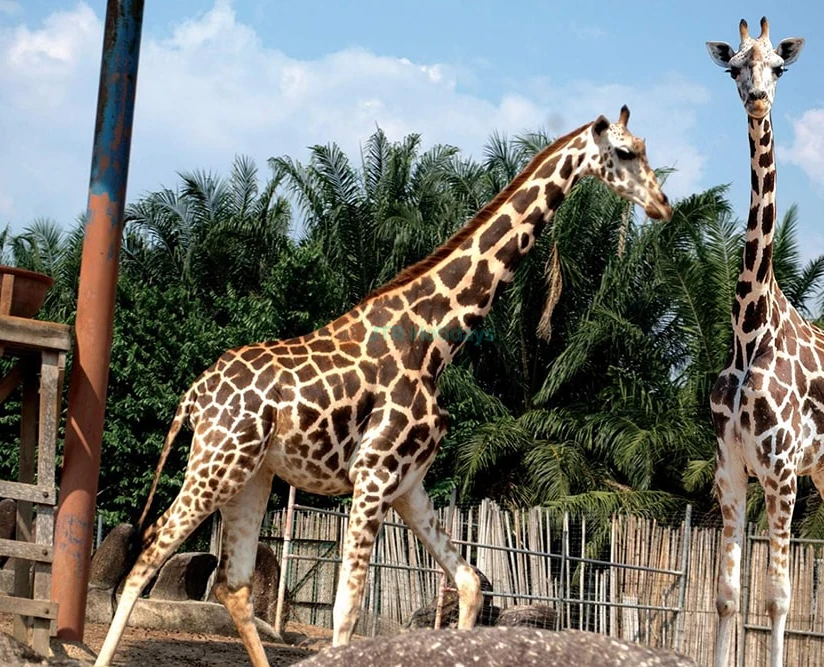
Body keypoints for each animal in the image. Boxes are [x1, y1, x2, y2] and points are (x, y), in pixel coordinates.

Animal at [94, 107, 672, 667]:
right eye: (625, 152)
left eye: (646, 149)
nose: (662, 205)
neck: (435, 342)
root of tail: (194, 394)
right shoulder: (372, 476)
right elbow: (346, 609)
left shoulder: (407, 483)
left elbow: (468, 583)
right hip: (217, 461)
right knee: (148, 554)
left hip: (252, 473)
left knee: (232, 583)